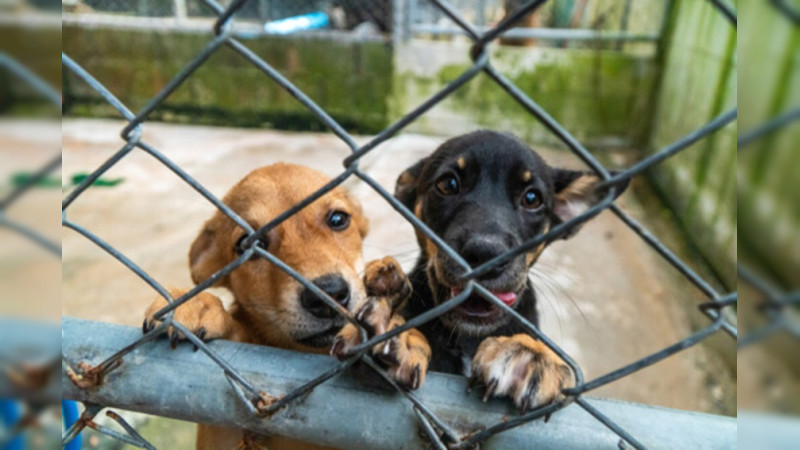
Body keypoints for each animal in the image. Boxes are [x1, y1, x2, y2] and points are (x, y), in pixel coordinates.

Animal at [394, 130, 632, 412]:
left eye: (532, 198)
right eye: (448, 184)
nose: (486, 254)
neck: (469, 338)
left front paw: (530, 353)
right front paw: (401, 334)